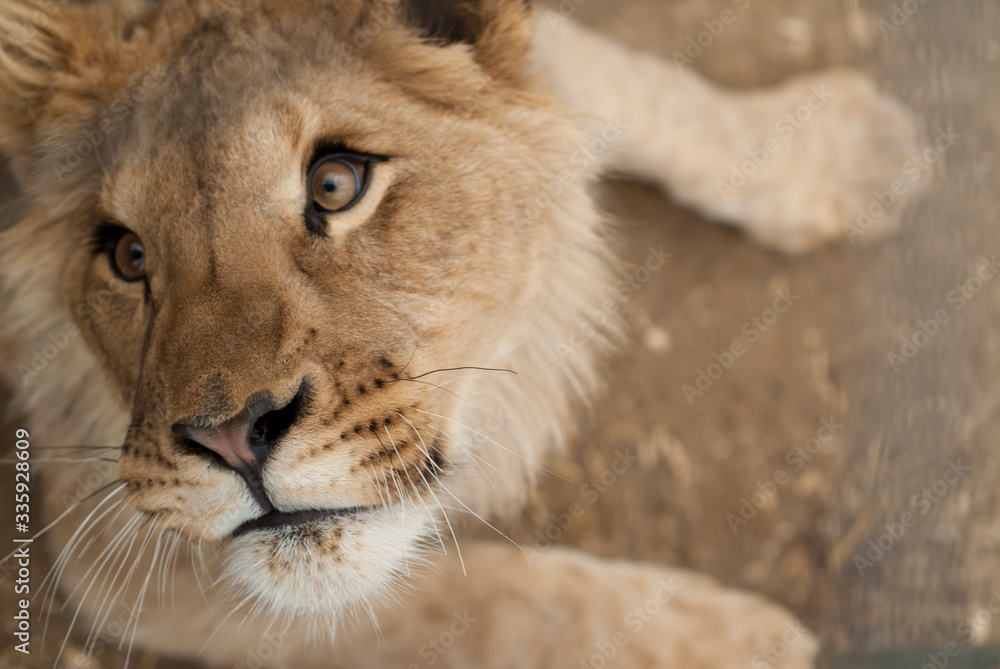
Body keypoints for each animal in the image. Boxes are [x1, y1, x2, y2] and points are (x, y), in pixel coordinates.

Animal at [0, 0, 921, 667]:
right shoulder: (113, 549)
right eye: (128, 255)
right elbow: (496, 602)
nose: (230, 437)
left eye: (335, 183)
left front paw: (846, 152)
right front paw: (725, 639)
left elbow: (623, 79)